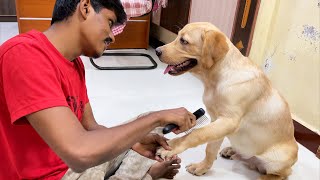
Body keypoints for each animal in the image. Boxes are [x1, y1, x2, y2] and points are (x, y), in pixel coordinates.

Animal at [155, 22, 298, 180]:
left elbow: (196, 134)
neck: (215, 79)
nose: (157, 51)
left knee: (284, 173)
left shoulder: (228, 121)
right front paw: (202, 167)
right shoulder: (216, 121)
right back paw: (231, 150)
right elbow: (210, 148)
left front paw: (172, 147)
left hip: (279, 160)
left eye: (184, 41)